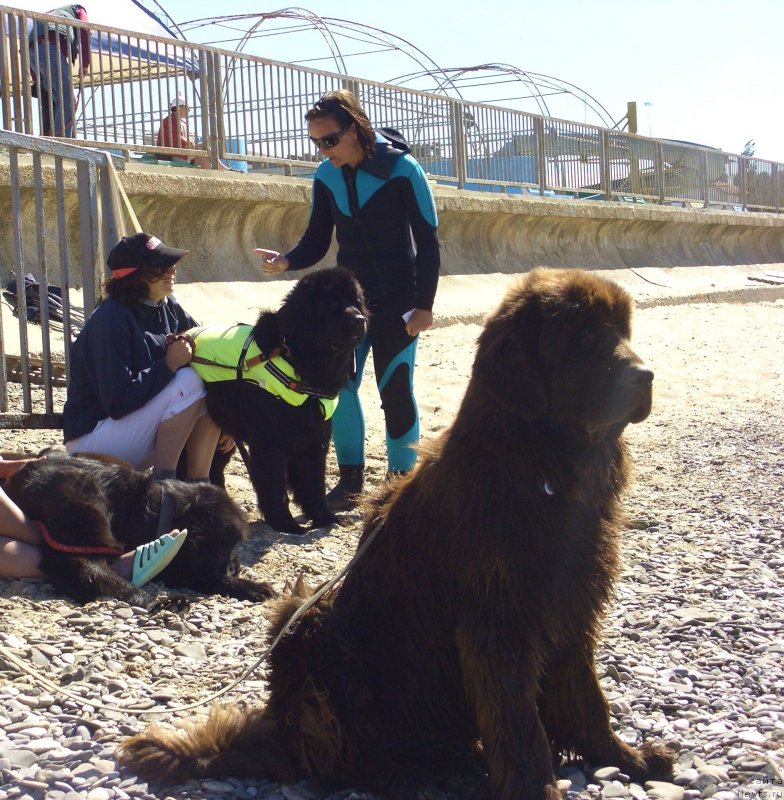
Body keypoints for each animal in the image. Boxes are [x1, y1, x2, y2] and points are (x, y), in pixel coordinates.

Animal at [193, 266, 370, 536]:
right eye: (331, 304)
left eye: (355, 301)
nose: (360, 319)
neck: (301, 362)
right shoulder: (270, 443)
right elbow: (275, 487)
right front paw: (285, 523)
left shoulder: (315, 438)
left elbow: (313, 484)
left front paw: (324, 517)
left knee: (214, 468)